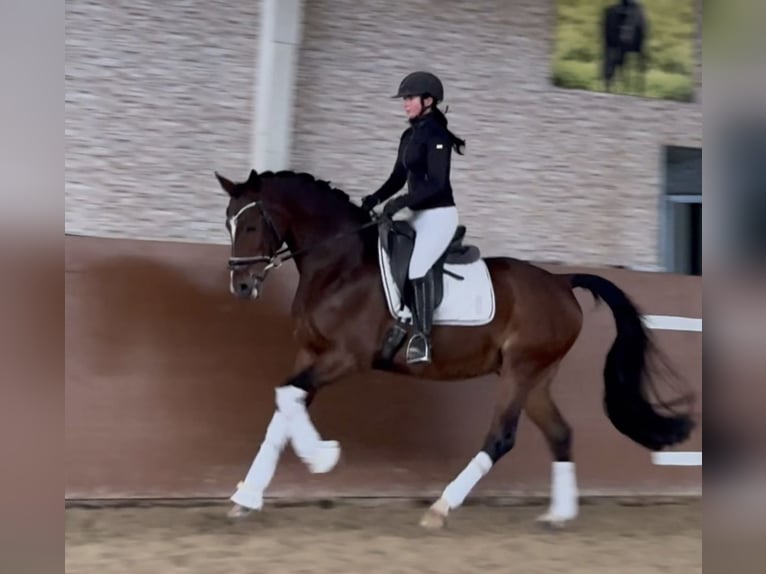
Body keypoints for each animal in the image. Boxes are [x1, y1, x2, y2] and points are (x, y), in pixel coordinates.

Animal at [214, 170, 696, 532]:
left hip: (521, 370)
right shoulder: (311, 353)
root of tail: (561, 282)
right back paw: (559, 515)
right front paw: (246, 497)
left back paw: (441, 507)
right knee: (560, 433)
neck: (340, 265)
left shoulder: (346, 357)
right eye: (228, 224)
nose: (241, 286)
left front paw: (323, 457)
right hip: (536, 377)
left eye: (252, 225)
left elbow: (288, 398)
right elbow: (284, 406)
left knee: (501, 437)